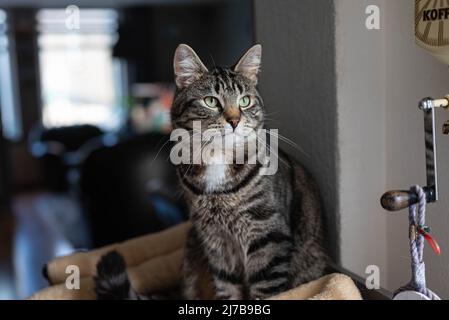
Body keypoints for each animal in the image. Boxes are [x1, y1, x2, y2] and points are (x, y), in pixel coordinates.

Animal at [94, 44, 328, 300]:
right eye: (211, 101)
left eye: (245, 100)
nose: (234, 120)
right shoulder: (215, 241)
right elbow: (226, 286)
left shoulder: (268, 236)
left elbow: (265, 290)